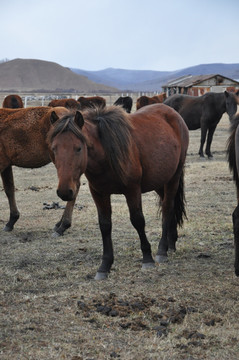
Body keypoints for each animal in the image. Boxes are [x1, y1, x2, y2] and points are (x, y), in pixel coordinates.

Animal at [47, 103, 189, 278]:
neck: (105, 156)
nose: (65, 192)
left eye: (78, 148)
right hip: (159, 180)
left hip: (173, 178)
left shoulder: (132, 190)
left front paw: (147, 258)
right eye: (54, 149)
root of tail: (173, 113)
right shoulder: (99, 193)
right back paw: (171, 243)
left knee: (168, 208)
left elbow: (138, 221)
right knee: (168, 206)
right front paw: (104, 266)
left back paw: (162, 250)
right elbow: (105, 225)